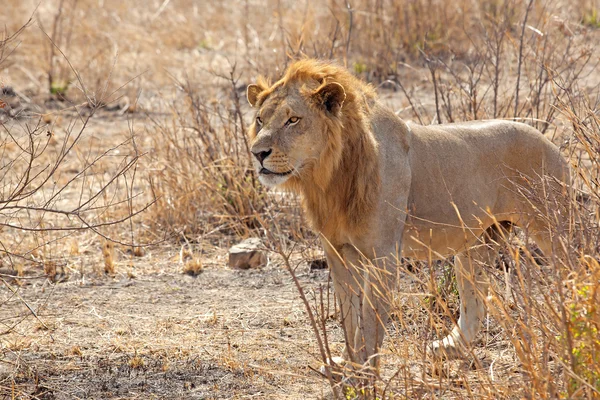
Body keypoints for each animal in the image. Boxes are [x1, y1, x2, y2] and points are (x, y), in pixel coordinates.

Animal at [244, 59, 568, 372]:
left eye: (293, 120)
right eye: (260, 119)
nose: (257, 153)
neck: (329, 176)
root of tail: (550, 141)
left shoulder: (383, 256)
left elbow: (370, 322)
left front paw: (363, 373)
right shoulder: (337, 251)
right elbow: (349, 316)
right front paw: (347, 363)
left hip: (553, 229)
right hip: (477, 244)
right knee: (475, 302)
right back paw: (448, 348)